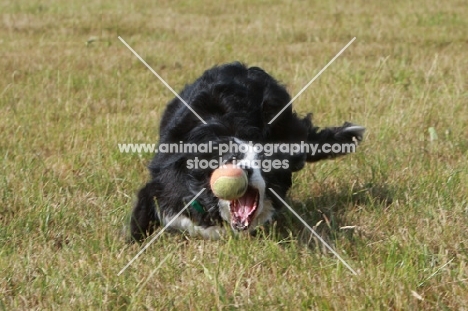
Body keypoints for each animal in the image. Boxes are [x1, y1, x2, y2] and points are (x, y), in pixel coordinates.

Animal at [129, 62, 366, 243]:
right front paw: (132, 243)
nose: (244, 170)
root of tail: (244, 68)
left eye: (266, 164)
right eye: (231, 159)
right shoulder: (164, 184)